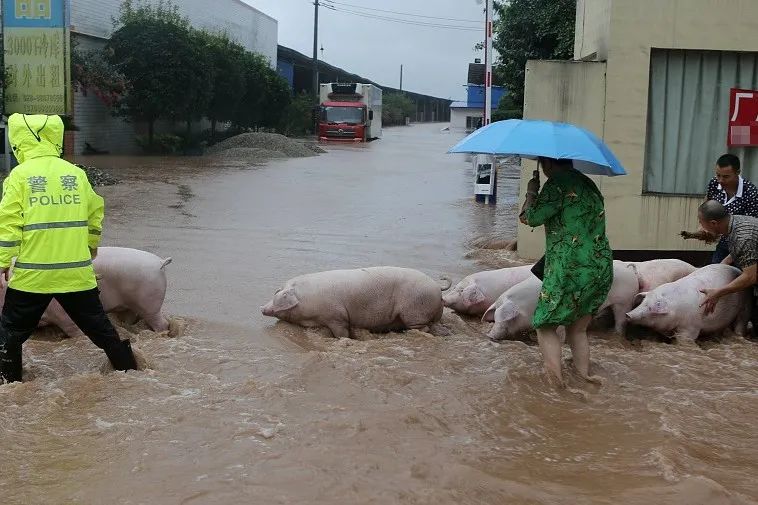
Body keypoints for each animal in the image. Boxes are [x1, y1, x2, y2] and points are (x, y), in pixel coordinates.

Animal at [262, 268, 452, 338]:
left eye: (279, 292)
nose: (261, 307)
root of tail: (437, 286)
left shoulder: (336, 316)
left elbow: (342, 332)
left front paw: (345, 339)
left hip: (414, 312)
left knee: (423, 328)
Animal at [486, 262, 640, 340]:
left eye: (508, 319)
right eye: (494, 318)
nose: (490, 336)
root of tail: (629, 269)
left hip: (624, 302)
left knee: (621, 321)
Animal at [624, 264, 756, 342]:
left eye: (651, 308)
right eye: (643, 303)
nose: (628, 314)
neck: (676, 309)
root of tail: (739, 270)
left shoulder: (691, 327)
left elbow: (686, 339)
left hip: (746, 306)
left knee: (741, 322)